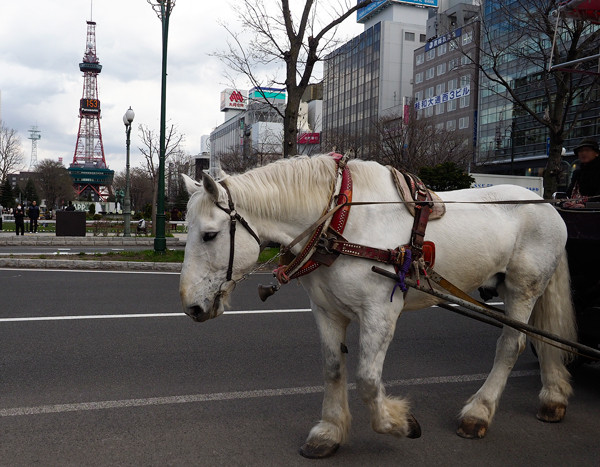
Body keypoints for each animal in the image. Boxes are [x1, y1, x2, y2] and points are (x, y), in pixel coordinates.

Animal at [179, 155, 576, 458]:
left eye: (210, 235)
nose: (191, 308)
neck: (339, 222)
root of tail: (547, 205)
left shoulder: (380, 313)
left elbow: (368, 380)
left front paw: (398, 423)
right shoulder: (326, 310)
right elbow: (333, 369)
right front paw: (330, 431)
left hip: (523, 288)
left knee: (512, 344)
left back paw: (478, 412)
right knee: (543, 337)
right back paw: (553, 397)